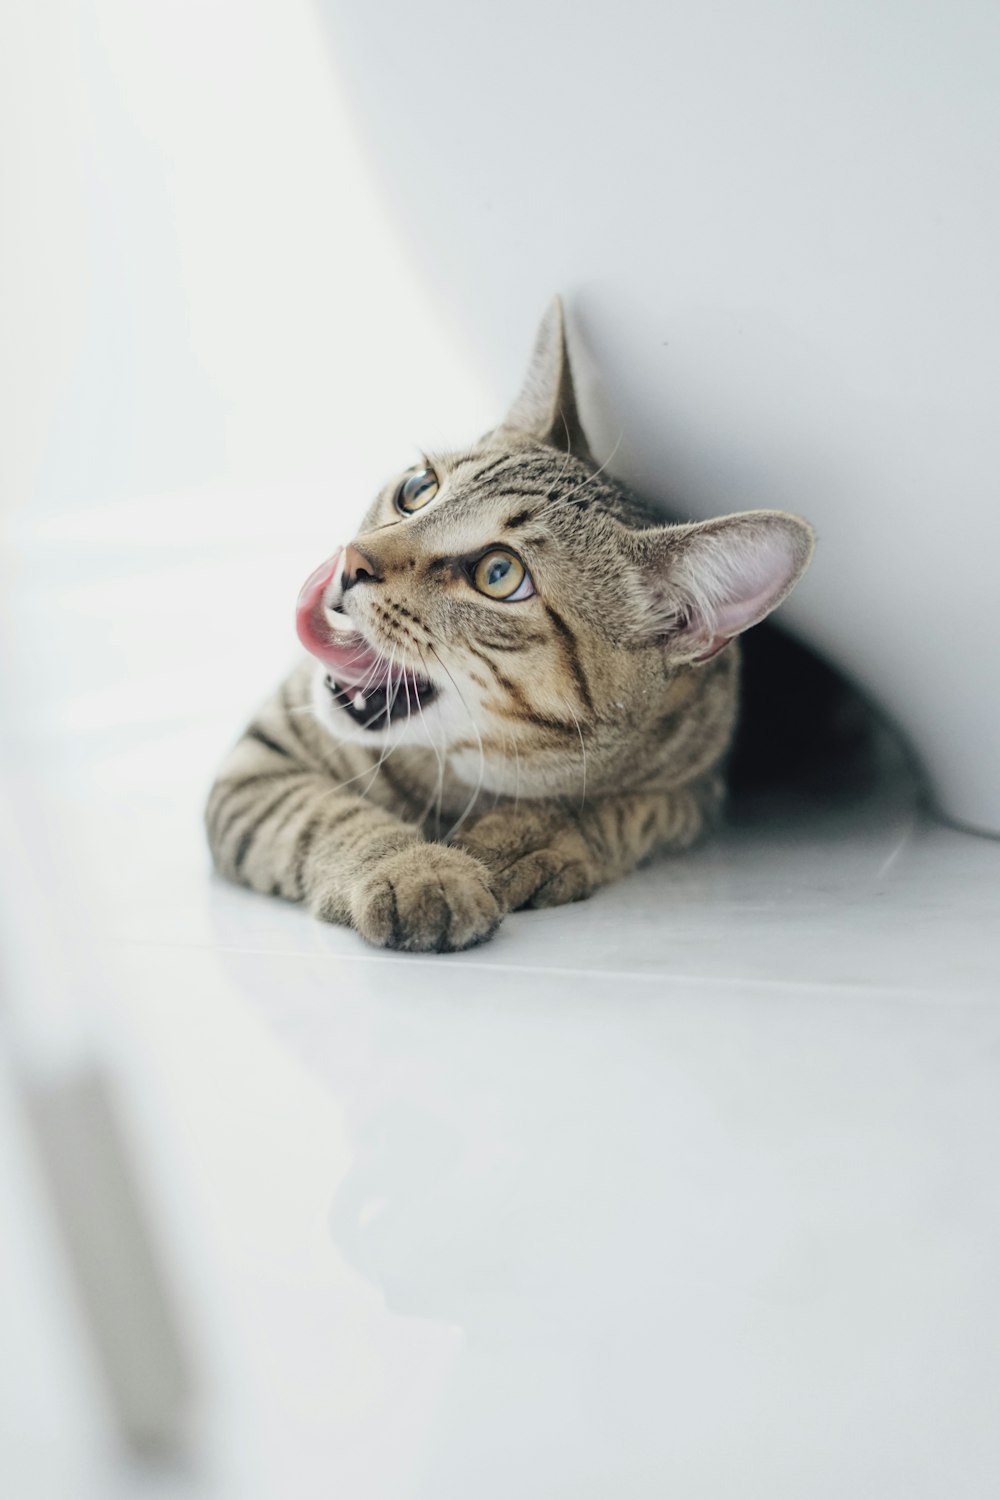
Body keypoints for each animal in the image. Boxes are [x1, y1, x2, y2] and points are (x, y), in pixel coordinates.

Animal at [206, 298, 815, 948]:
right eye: (417, 488)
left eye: (499, 573)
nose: (350, 561)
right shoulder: (261, 761)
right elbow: (329, 815)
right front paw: (414, 868)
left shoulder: (693, 789)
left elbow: (621, 811)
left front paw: (530, 837)